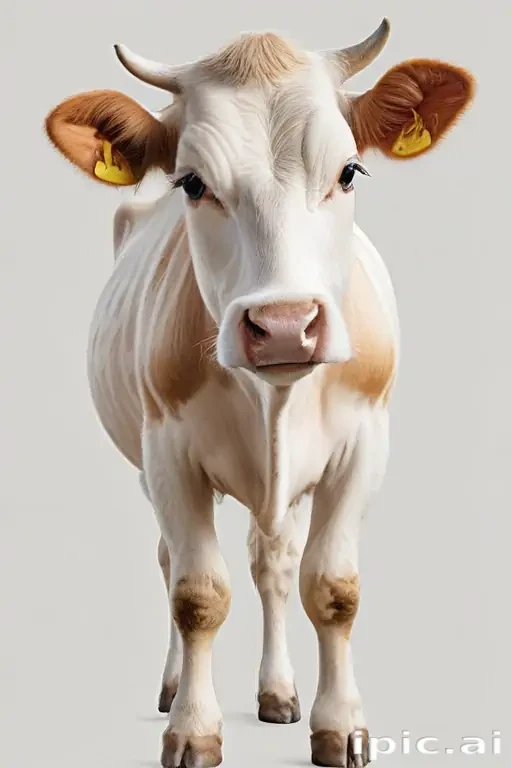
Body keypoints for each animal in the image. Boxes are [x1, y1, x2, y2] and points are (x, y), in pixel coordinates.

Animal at [44, 18, 474, 768]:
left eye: (349, 171)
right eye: (192, 182)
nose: (283, 325)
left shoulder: (364, 446)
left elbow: (330, 589)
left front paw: (339, 725)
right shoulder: (169, 454)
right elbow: (196, 595)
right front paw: (193, 728)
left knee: (272, 565)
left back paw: (277, 691)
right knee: (169, 562)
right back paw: (172, 687)